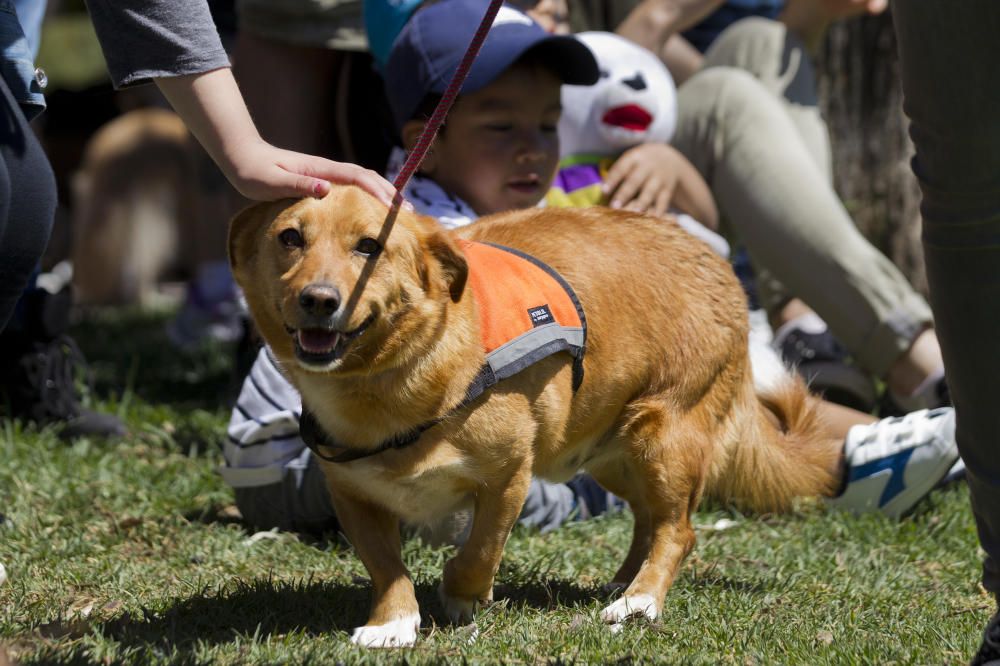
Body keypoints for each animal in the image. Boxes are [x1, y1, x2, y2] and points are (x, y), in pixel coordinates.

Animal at [229, 184, 844, 644]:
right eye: (290, 238)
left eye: (369, 247)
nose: (318, 300)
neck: (387, 385)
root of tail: (717, 258)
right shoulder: (353, 493)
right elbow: (385, 565)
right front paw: (393, 622)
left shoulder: (508, 476)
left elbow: (479, 551)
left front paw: (462, 596)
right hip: (613, 453)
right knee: (649, 518)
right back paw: (623, 583)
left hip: (664, 435)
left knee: (679, 529)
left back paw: (640, 602)